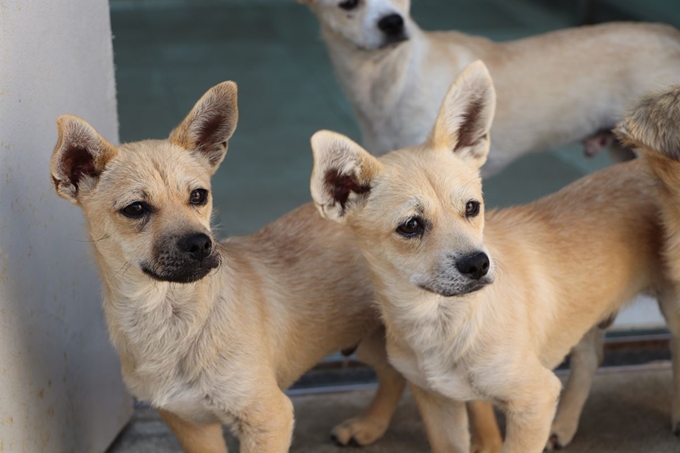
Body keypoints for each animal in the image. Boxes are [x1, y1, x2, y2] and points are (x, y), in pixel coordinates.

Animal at [49, 80, 504, 448]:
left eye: (199, 196)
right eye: (135, 209)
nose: (201, 244)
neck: (170, 319)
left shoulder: (269, 417)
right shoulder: (190, 425)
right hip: (370, 336)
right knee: (394, 375)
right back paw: (369, 426)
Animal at [310, 61, 680, 452]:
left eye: (472, 207)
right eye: (410, 226)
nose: (478, 264)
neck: (441, 323)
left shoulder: (534, 399)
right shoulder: (439, 404)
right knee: (589, 357)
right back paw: (564, 425)